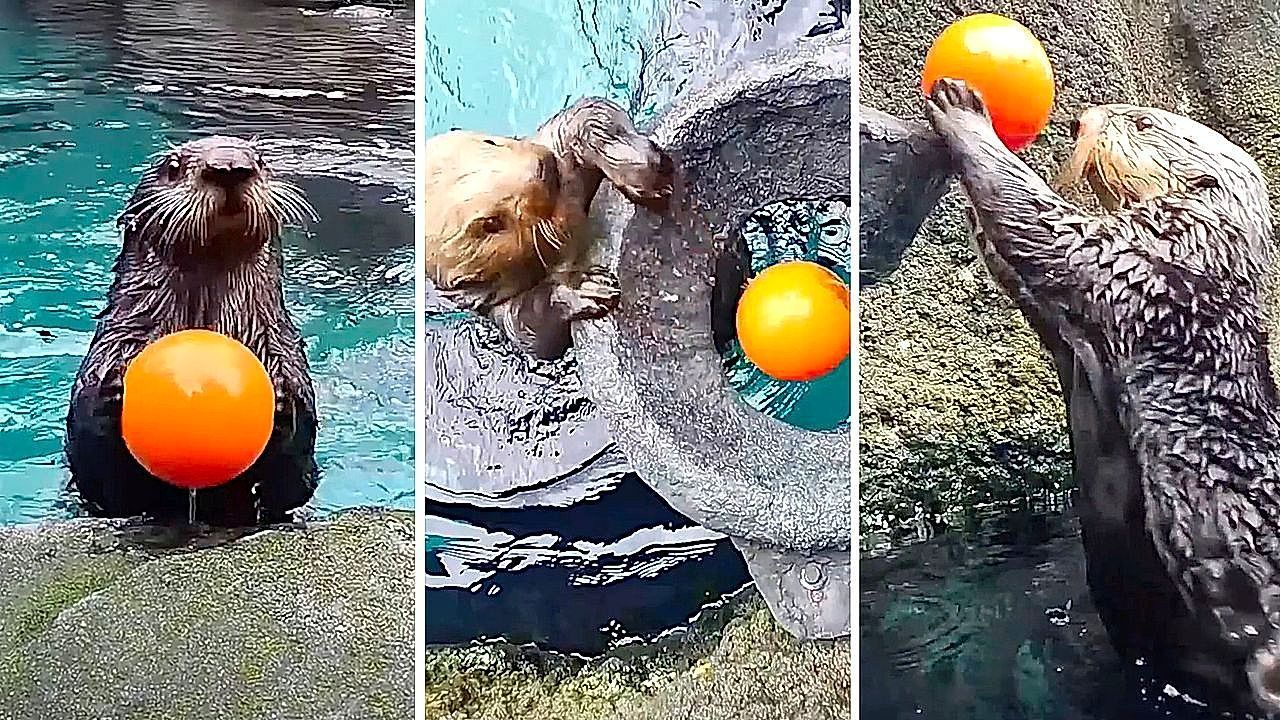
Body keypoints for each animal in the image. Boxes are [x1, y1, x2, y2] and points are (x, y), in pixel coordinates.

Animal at [66, 136, 320, 527]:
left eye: (261, 160)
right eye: (172, 166)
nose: (229, 166)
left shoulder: (285, 352)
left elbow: (293, 483)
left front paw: (282, 401)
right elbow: (101, 481)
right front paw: (114, 388)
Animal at [424, 97, 674, 359]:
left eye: (489, 142)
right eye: (491, 223)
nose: (539, 168)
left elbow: (587, 112)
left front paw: (640, 164)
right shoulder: (497, 307)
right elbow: (534, 335)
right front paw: (583, 287)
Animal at [926, 77, 1280, 715]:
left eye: (1142, 122)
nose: (1078, 122)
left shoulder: (1128, 260)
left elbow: (1041, 223)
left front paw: (964, 110)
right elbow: (1020, 268)